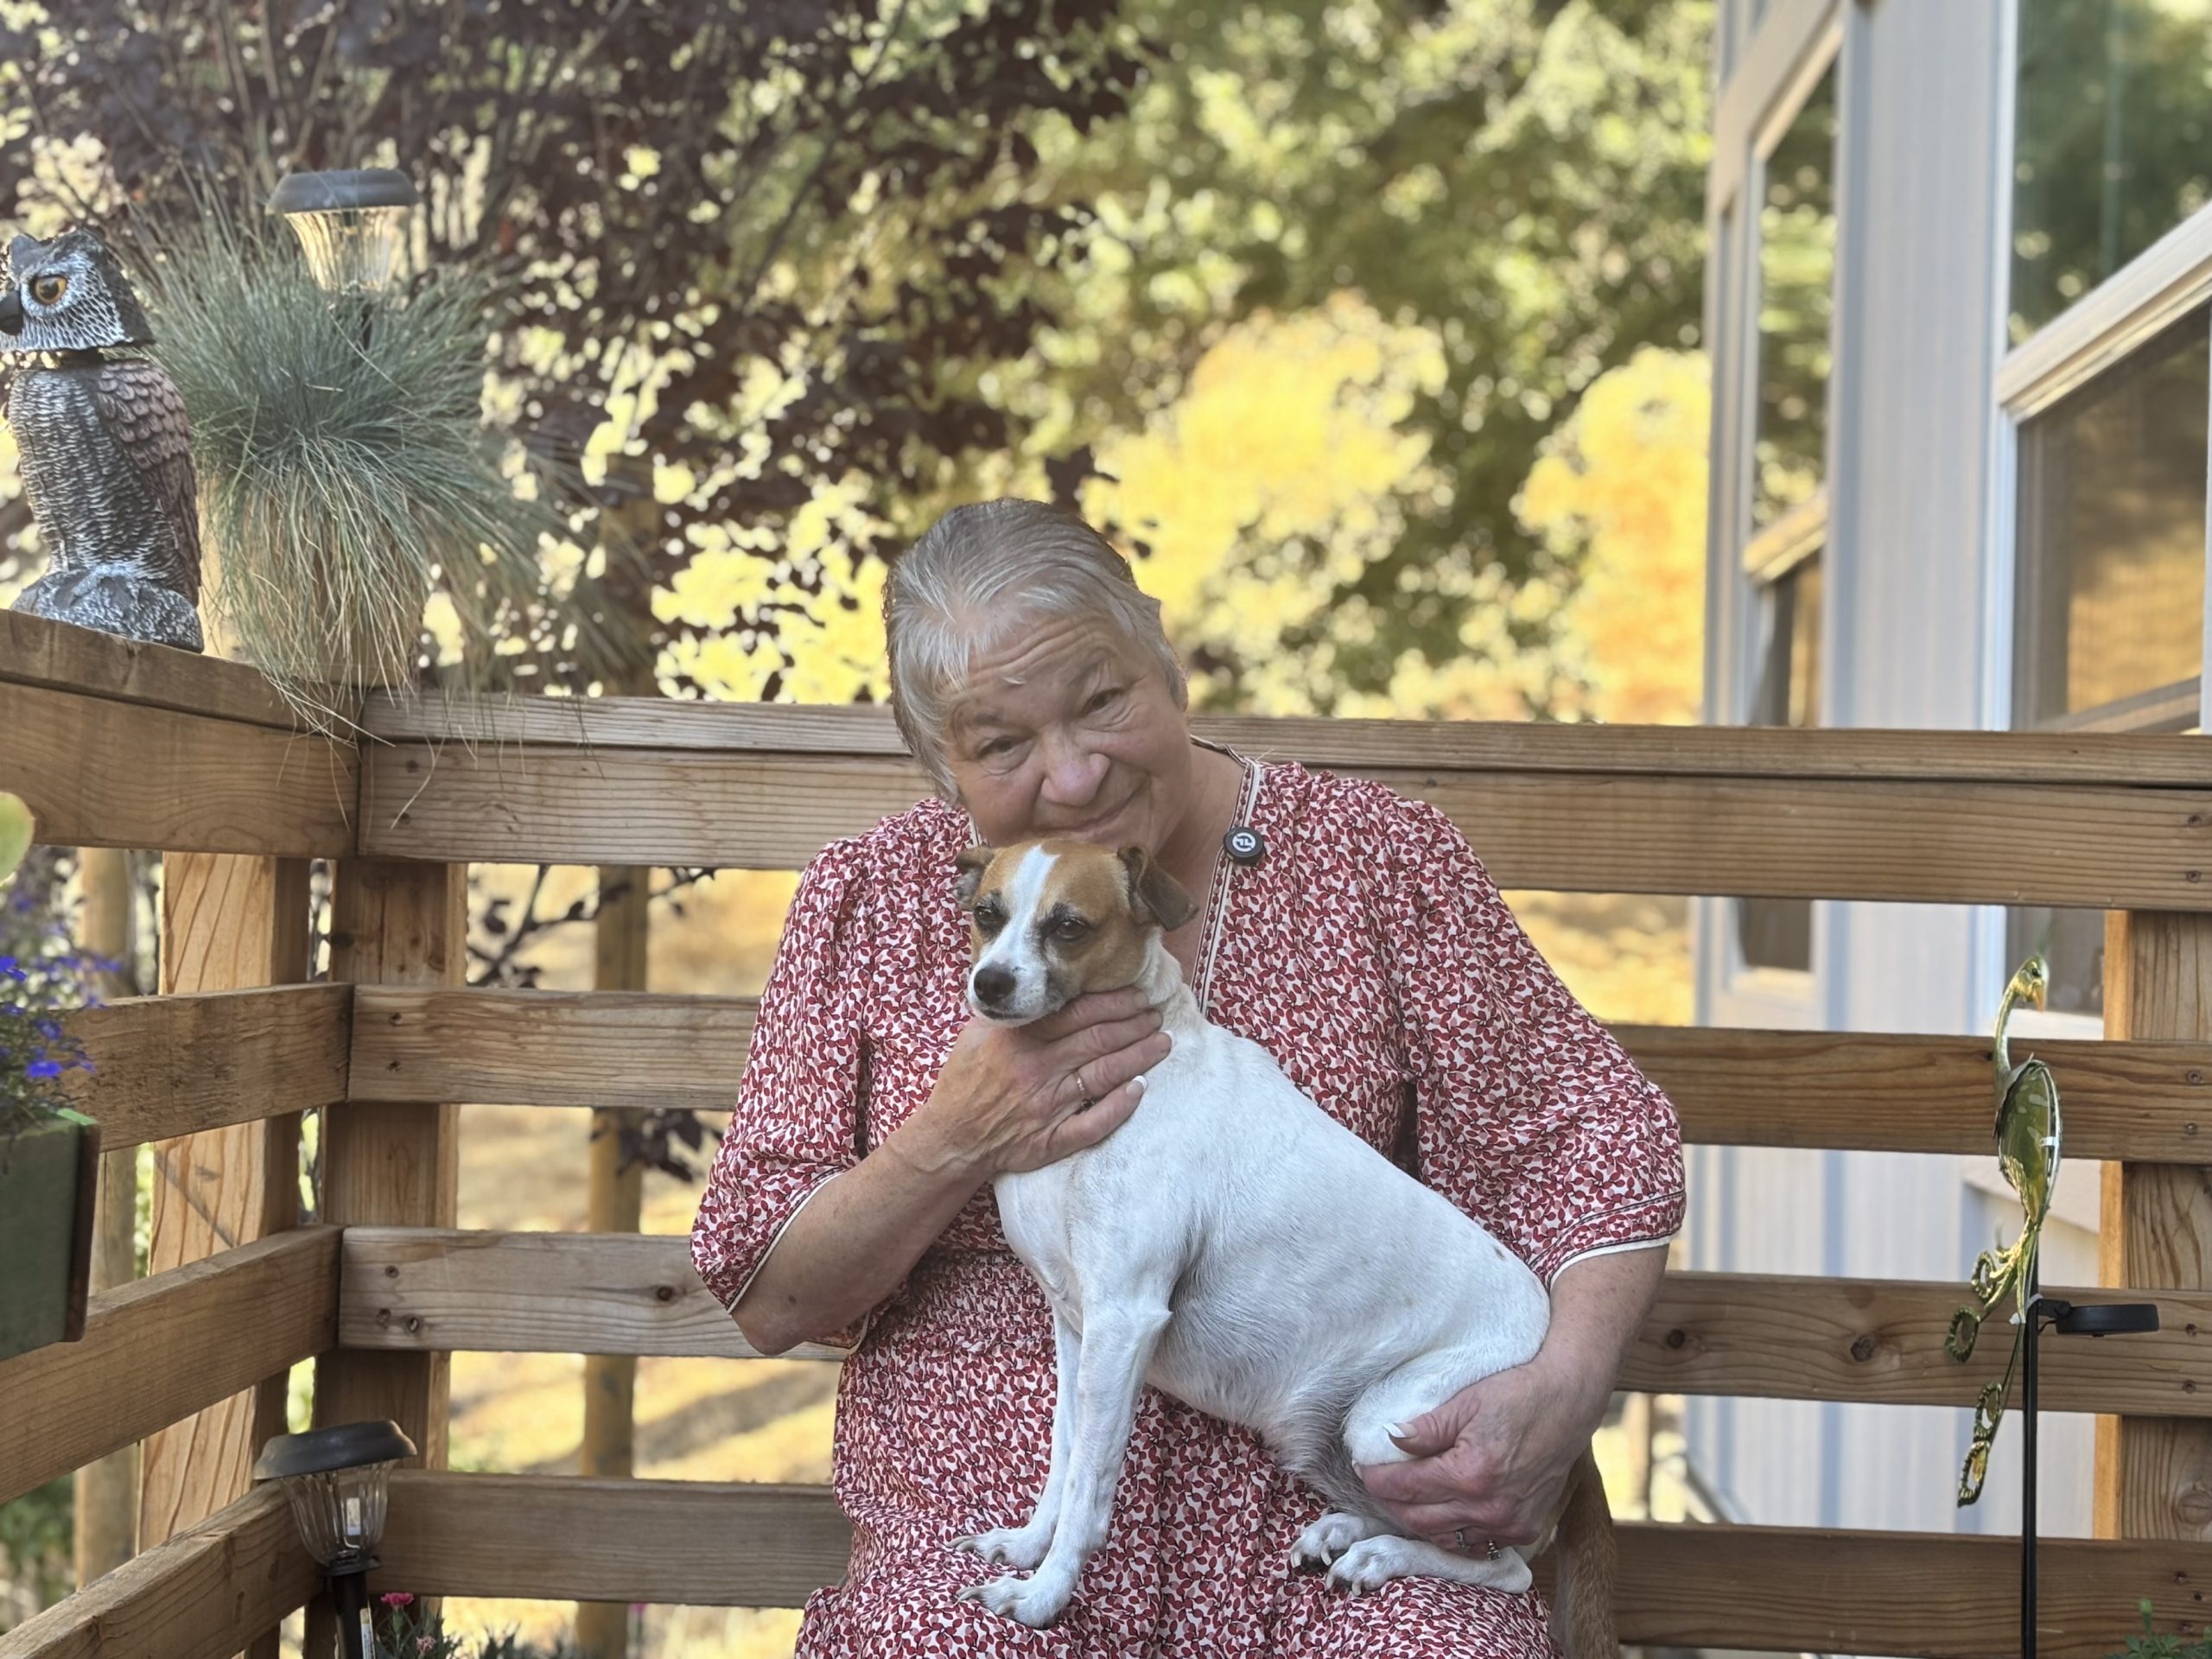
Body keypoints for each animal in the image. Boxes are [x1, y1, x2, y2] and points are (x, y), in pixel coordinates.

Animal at [948, 837, 1617, 1655]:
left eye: (1069, 926)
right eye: (988, 914)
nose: (990, 983)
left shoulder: (1124, 1320)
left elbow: (1087, 1490)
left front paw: (1044, 1595)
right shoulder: (1079, 1328)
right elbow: (1063, 1461)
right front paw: (1027, 1548)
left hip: (1390, 1426)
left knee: (1505, 1566)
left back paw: (1379, 1556)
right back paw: (1345, 1533)